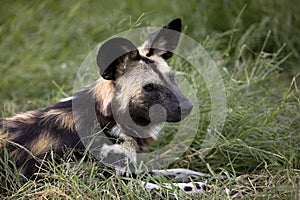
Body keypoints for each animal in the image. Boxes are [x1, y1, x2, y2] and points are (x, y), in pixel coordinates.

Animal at [0, 18, 211, 194]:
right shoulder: (104, 182)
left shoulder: (126, 170)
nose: (188, 106)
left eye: (172, 79)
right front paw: (198, 186)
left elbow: (161, 171)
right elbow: (166, 186)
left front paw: (196, 174)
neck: (107, 119)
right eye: (149, 87)